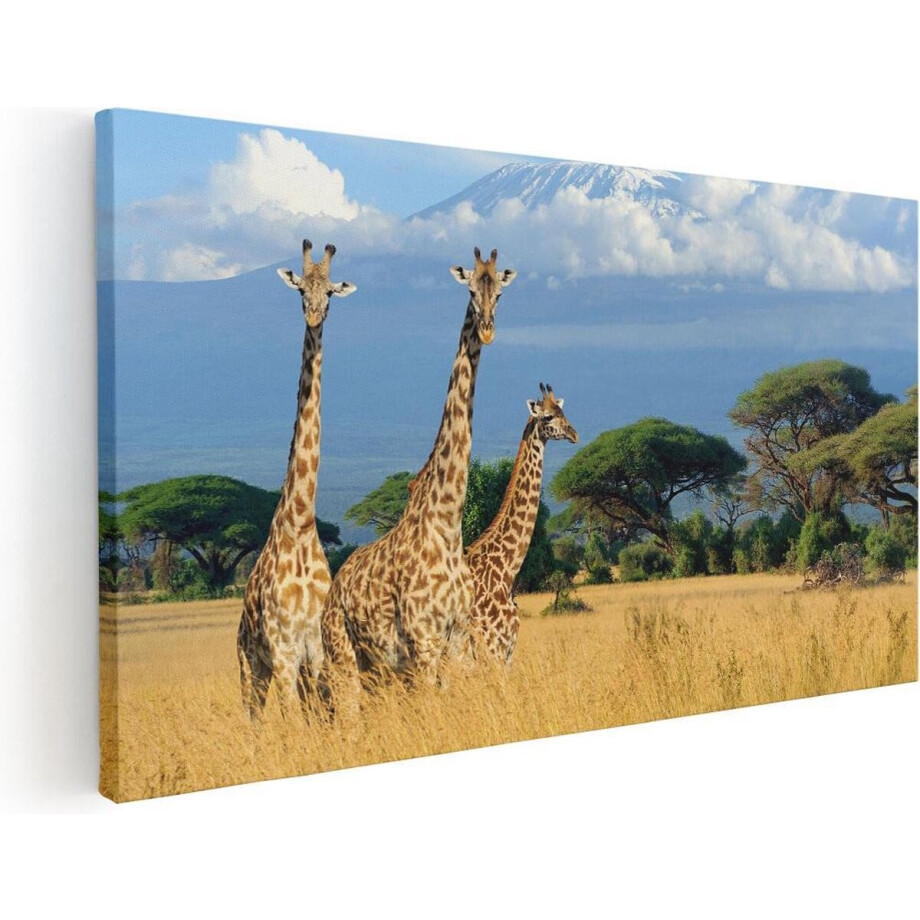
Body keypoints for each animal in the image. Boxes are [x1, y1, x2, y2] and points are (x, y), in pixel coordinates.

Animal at [236, 239, 357, 719]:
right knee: (253, 718)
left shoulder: (317, 651)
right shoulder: (284, 651)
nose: (313, 315)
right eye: (301, 290)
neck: (302, 522)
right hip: (250, 667)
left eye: (331, 294)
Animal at [321, 247, 516, 712]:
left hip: (379, 669)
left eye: (500, 292)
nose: (487, 330)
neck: (447, 522)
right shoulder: (423, 642)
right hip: (345, 657)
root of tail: (333, 592)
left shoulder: (458, 639)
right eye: (470, 290)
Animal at [465, 383, 578, 666]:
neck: (506, 570)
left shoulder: (506, 651)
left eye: (563, 411)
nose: (574, 434)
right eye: (547, 417)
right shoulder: (494, 646)